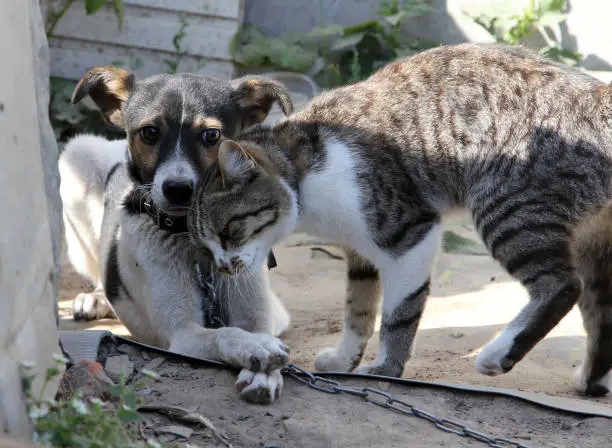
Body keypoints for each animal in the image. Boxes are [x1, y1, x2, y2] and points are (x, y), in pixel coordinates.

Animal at [58, 65, 294, 402]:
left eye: (212, 135)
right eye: (149, 132)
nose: (178, 189)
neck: (196, 246)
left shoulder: (266, 314)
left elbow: (254, 331)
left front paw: (262, 372)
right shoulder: (183, 333)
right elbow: (226, 333)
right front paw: (256, 348)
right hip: (76, 160)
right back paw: (96, 298)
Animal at [189, 43, 612, 396]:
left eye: (229, 232)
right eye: (206, 246)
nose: (224, 267)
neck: (303, 172)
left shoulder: (409, 234)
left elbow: (398, 314)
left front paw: (386, 367)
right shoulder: (359, 253)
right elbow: (358, 310)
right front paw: (344, 359)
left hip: (509, 210)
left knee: (563, 285)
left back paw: (498, 355)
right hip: (590, 242)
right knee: (600, 310)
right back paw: (589, 382)